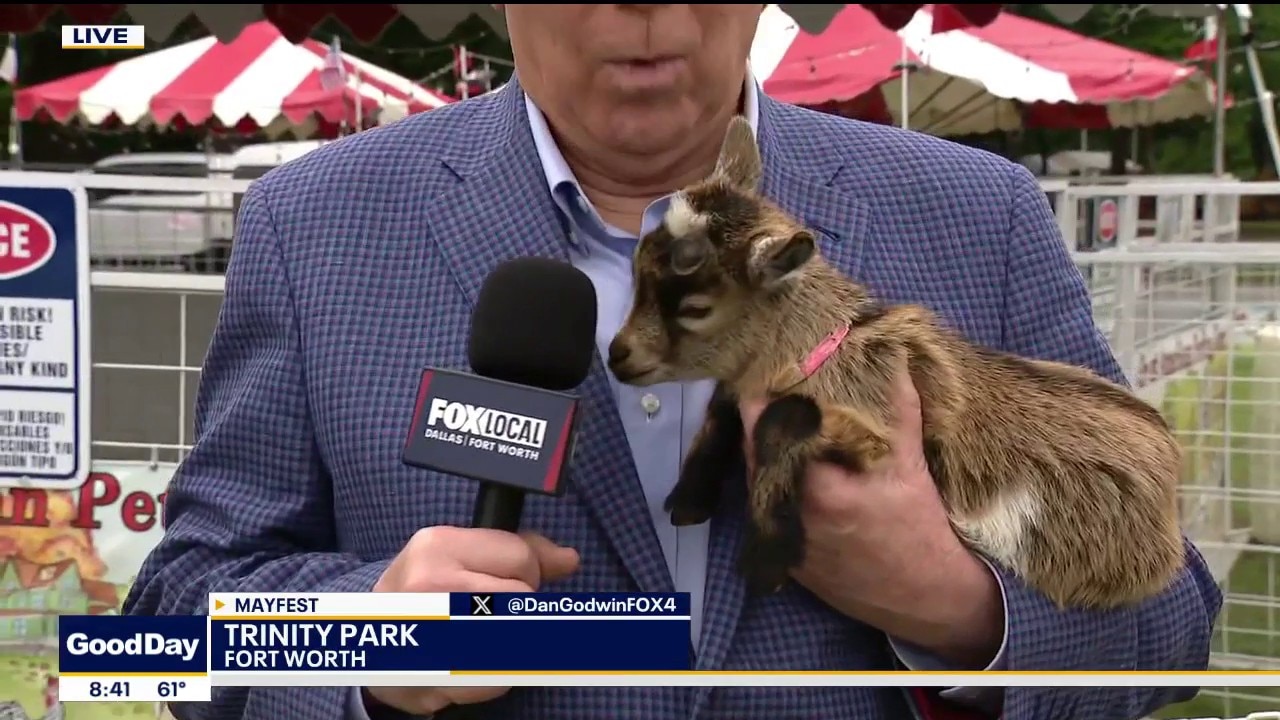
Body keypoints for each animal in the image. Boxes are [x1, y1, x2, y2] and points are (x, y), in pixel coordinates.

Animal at [606, 116, 1186, 610]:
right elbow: (725, 408)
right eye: (638, 266)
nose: (617, 355)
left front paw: (766, 558)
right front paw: (690, 497)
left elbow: (783, 418)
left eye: (695, 309)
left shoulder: (874, 431)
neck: (827, 344)